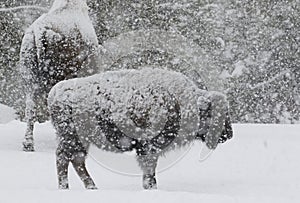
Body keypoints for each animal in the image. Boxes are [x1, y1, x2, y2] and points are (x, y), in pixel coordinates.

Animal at [48, 68, 233, 189]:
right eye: (217, 114)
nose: (229, 134)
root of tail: (55, 92)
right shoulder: (149, 146)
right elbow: (149, 168)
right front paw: (151, 187)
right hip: (72, 138)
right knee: (64, 158)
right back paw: (67, 187)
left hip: (80, 140)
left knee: (75, 160)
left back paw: (91, 187)